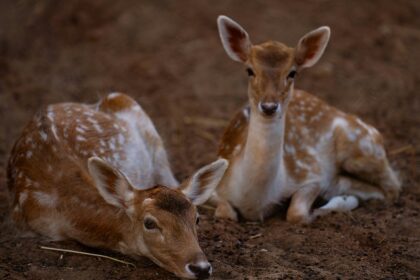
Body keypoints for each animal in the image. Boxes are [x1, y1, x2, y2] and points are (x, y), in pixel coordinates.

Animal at [212, 16, 402, 224]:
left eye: (292, 73)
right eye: (249, 70)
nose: (269, 106)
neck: (254, 198)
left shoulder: (309, 174)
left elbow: (297, 214)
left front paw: (324, 207)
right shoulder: (217, 184)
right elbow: (225, 213)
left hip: (362, 147)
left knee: (392, 188)